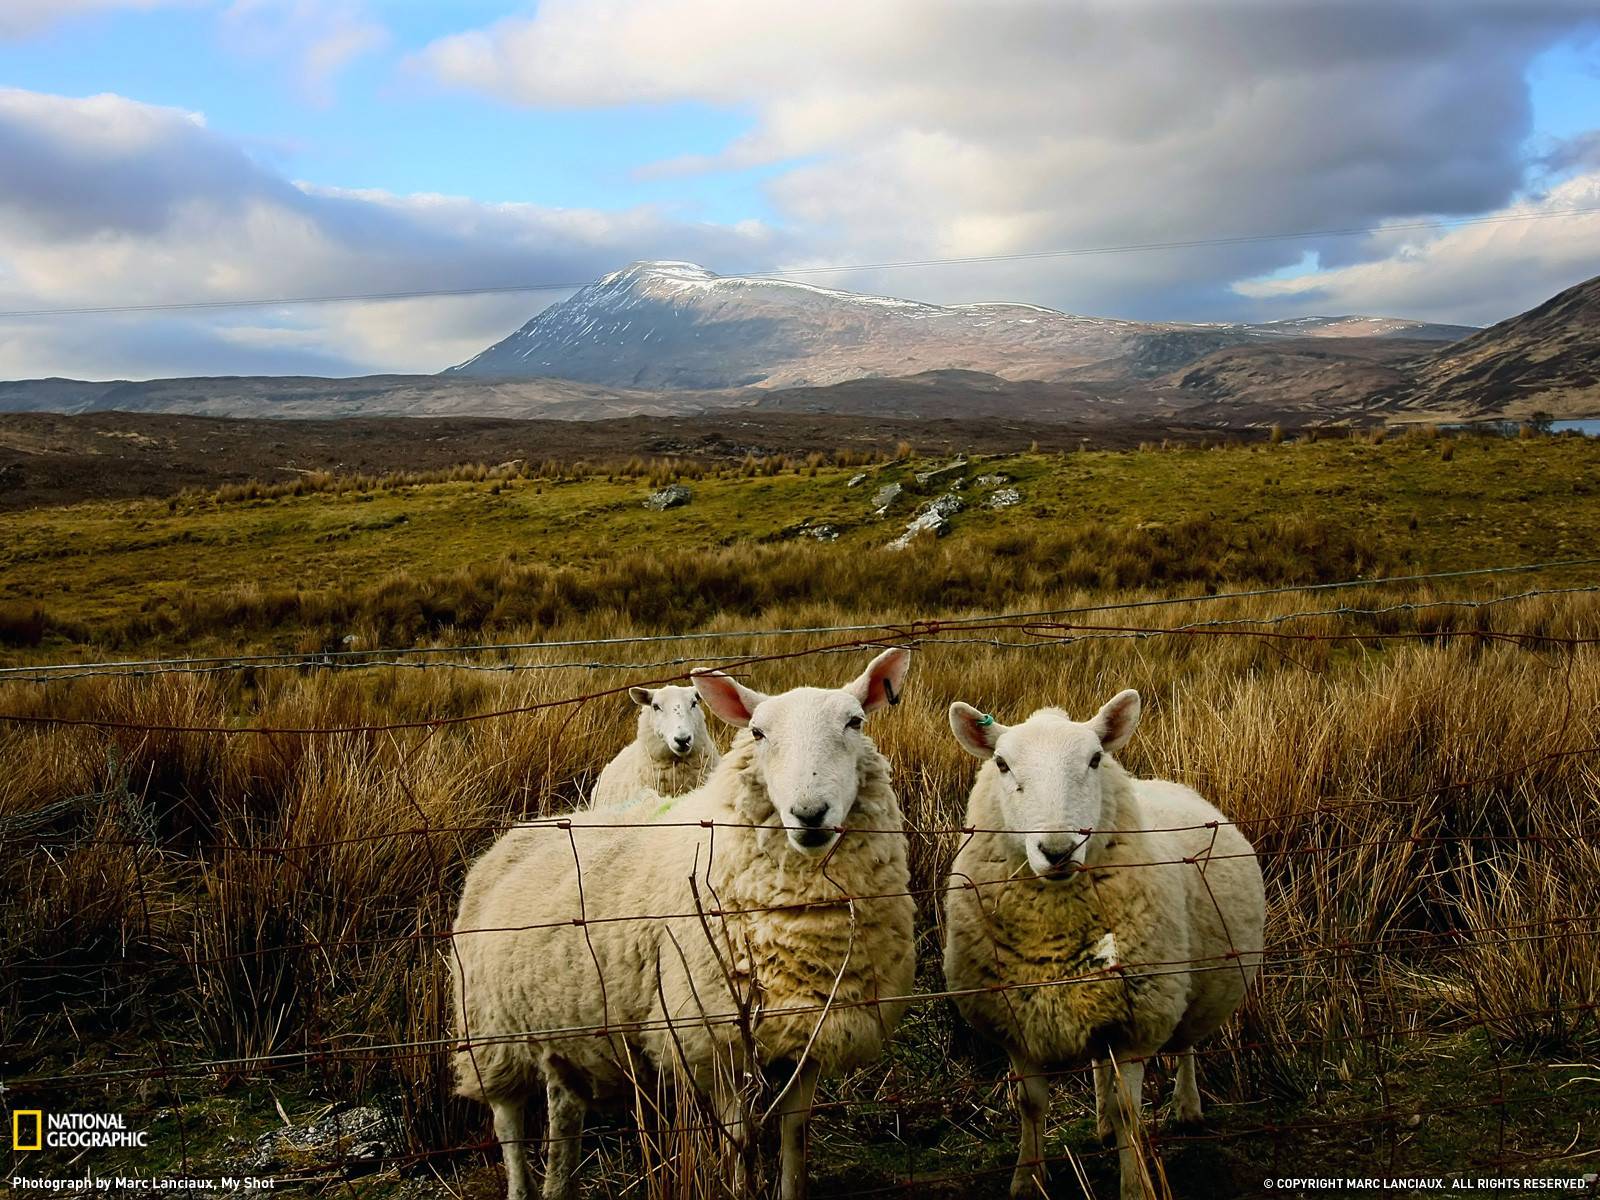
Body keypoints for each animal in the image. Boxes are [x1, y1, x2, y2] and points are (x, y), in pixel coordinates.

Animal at [934, 694, 1260, 1200]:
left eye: (1094, 759)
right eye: (1002, 764)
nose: (1057, 850)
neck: (1054, 934)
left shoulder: (1137, 1021)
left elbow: (1131, 1111)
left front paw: (1136, 1185)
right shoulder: (1015, 1023)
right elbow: (1029, 1104)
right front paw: (1027, 1179)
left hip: (1189, 989)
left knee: (1186, 1045)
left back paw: (1187, 1109)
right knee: (1099, 1065)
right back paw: (1103, 1123)